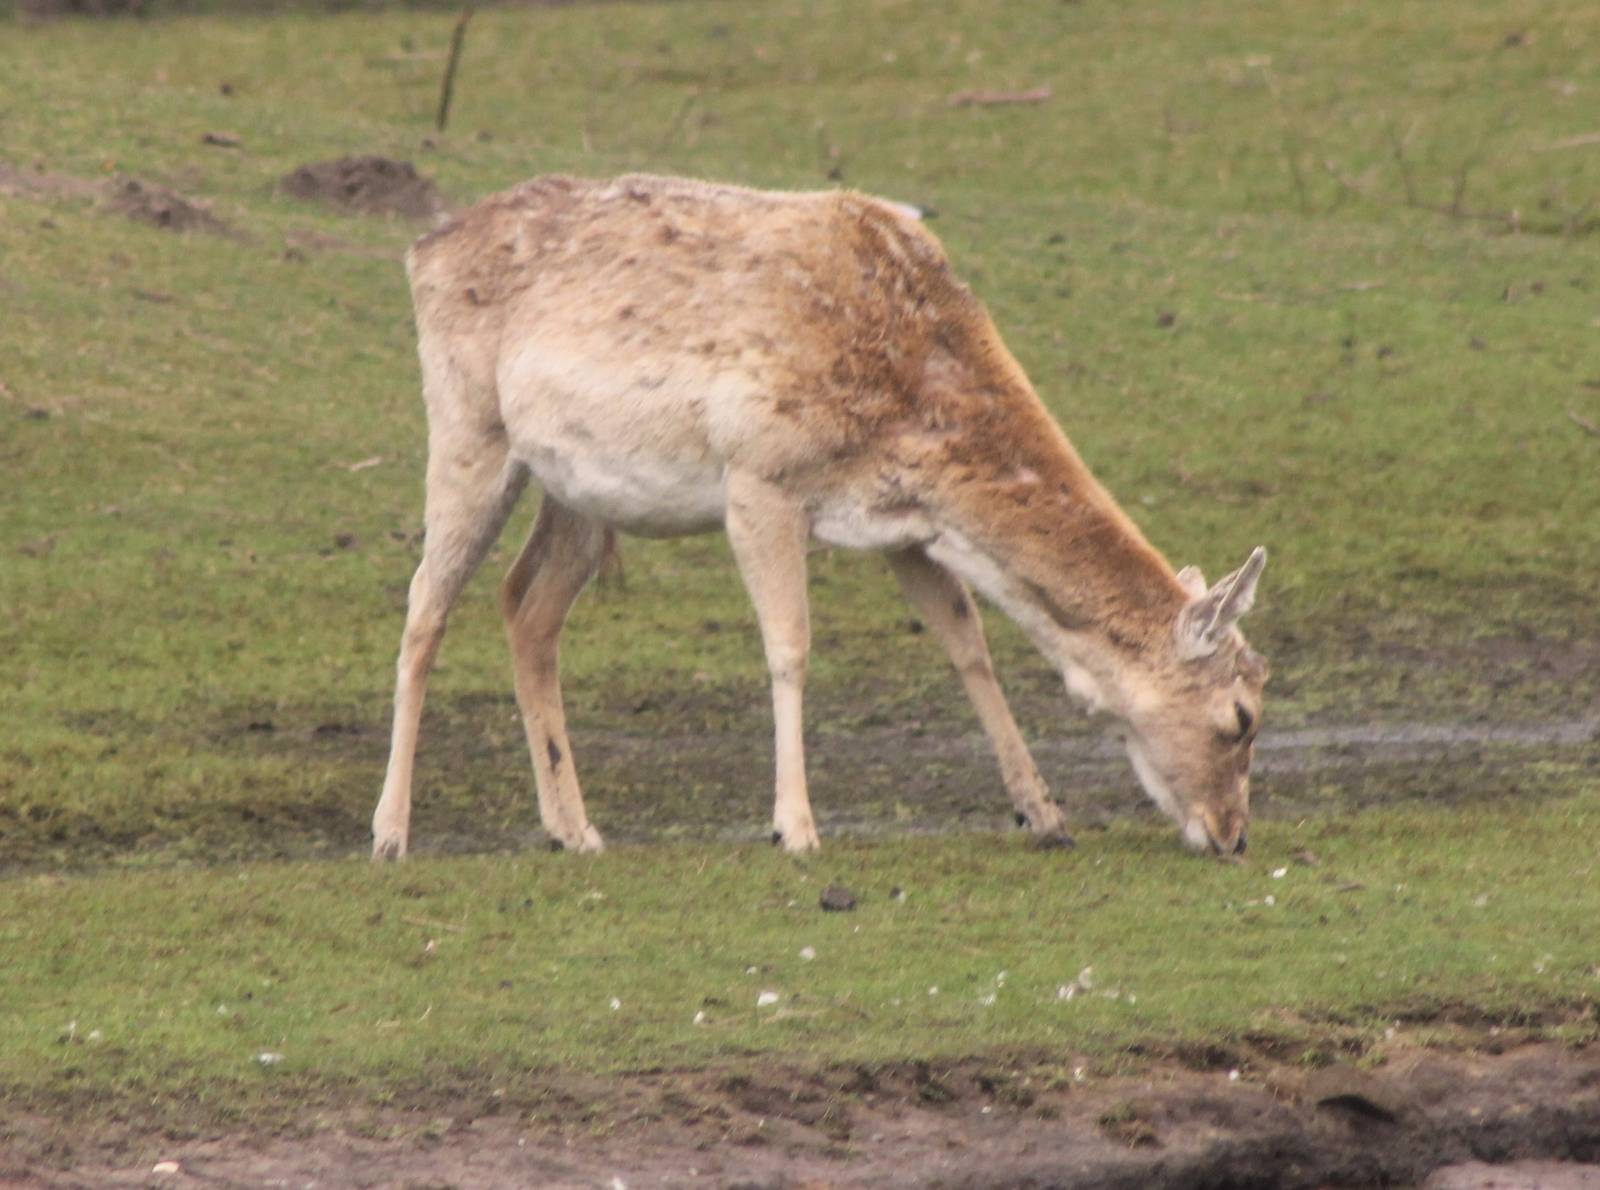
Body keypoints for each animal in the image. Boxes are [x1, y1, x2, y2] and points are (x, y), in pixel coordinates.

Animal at [371, 173, 1269, 864]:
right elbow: (790, 648)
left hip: (580, 489)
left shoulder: (909, 525)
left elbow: (968, 644)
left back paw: (573, 829)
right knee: (423, 606)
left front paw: (1043, 813)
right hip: (468, 424)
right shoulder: (759, 477)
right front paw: (795, 828)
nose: (1232, 835)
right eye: (1241, 718)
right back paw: (391, 833)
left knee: (526, 605)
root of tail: (421, 251)